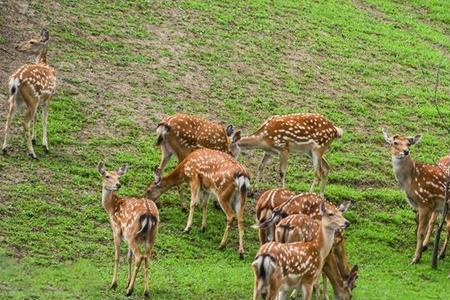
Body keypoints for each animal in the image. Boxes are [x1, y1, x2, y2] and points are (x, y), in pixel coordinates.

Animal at [2, 29, 56, 158]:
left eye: (32, 41)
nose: (17, 46)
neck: (43, 63)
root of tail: (16, 79)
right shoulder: (49, 97)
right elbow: (44, 120)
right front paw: (45, 145)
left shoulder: (41, 100)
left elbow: (36, 118)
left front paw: (34, 139)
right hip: (32, 99)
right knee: (25, 123)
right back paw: (32, 153)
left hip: (15, 99)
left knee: (8, 120)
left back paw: (4, 149)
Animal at [97, 163, 159, 296]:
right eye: (107, 176)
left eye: (118, 177)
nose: (118, 184)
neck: (111, 208)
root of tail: (148, 213)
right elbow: (128, 257)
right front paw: (127, 283)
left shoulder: (116, 229)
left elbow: (117, 256)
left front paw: (114, 284)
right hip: (151, 235)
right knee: (147, 258)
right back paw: (146, 291)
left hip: (131, 233)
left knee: (139, 256)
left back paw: (129, 291)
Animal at [382, 127, 448, 264]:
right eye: (395, 143)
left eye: (409, 143)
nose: (406, 152)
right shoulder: (422, 205)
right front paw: (421, 251)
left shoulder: (425, 202)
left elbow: (420, 232)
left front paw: (415, 258)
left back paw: (440, 255)